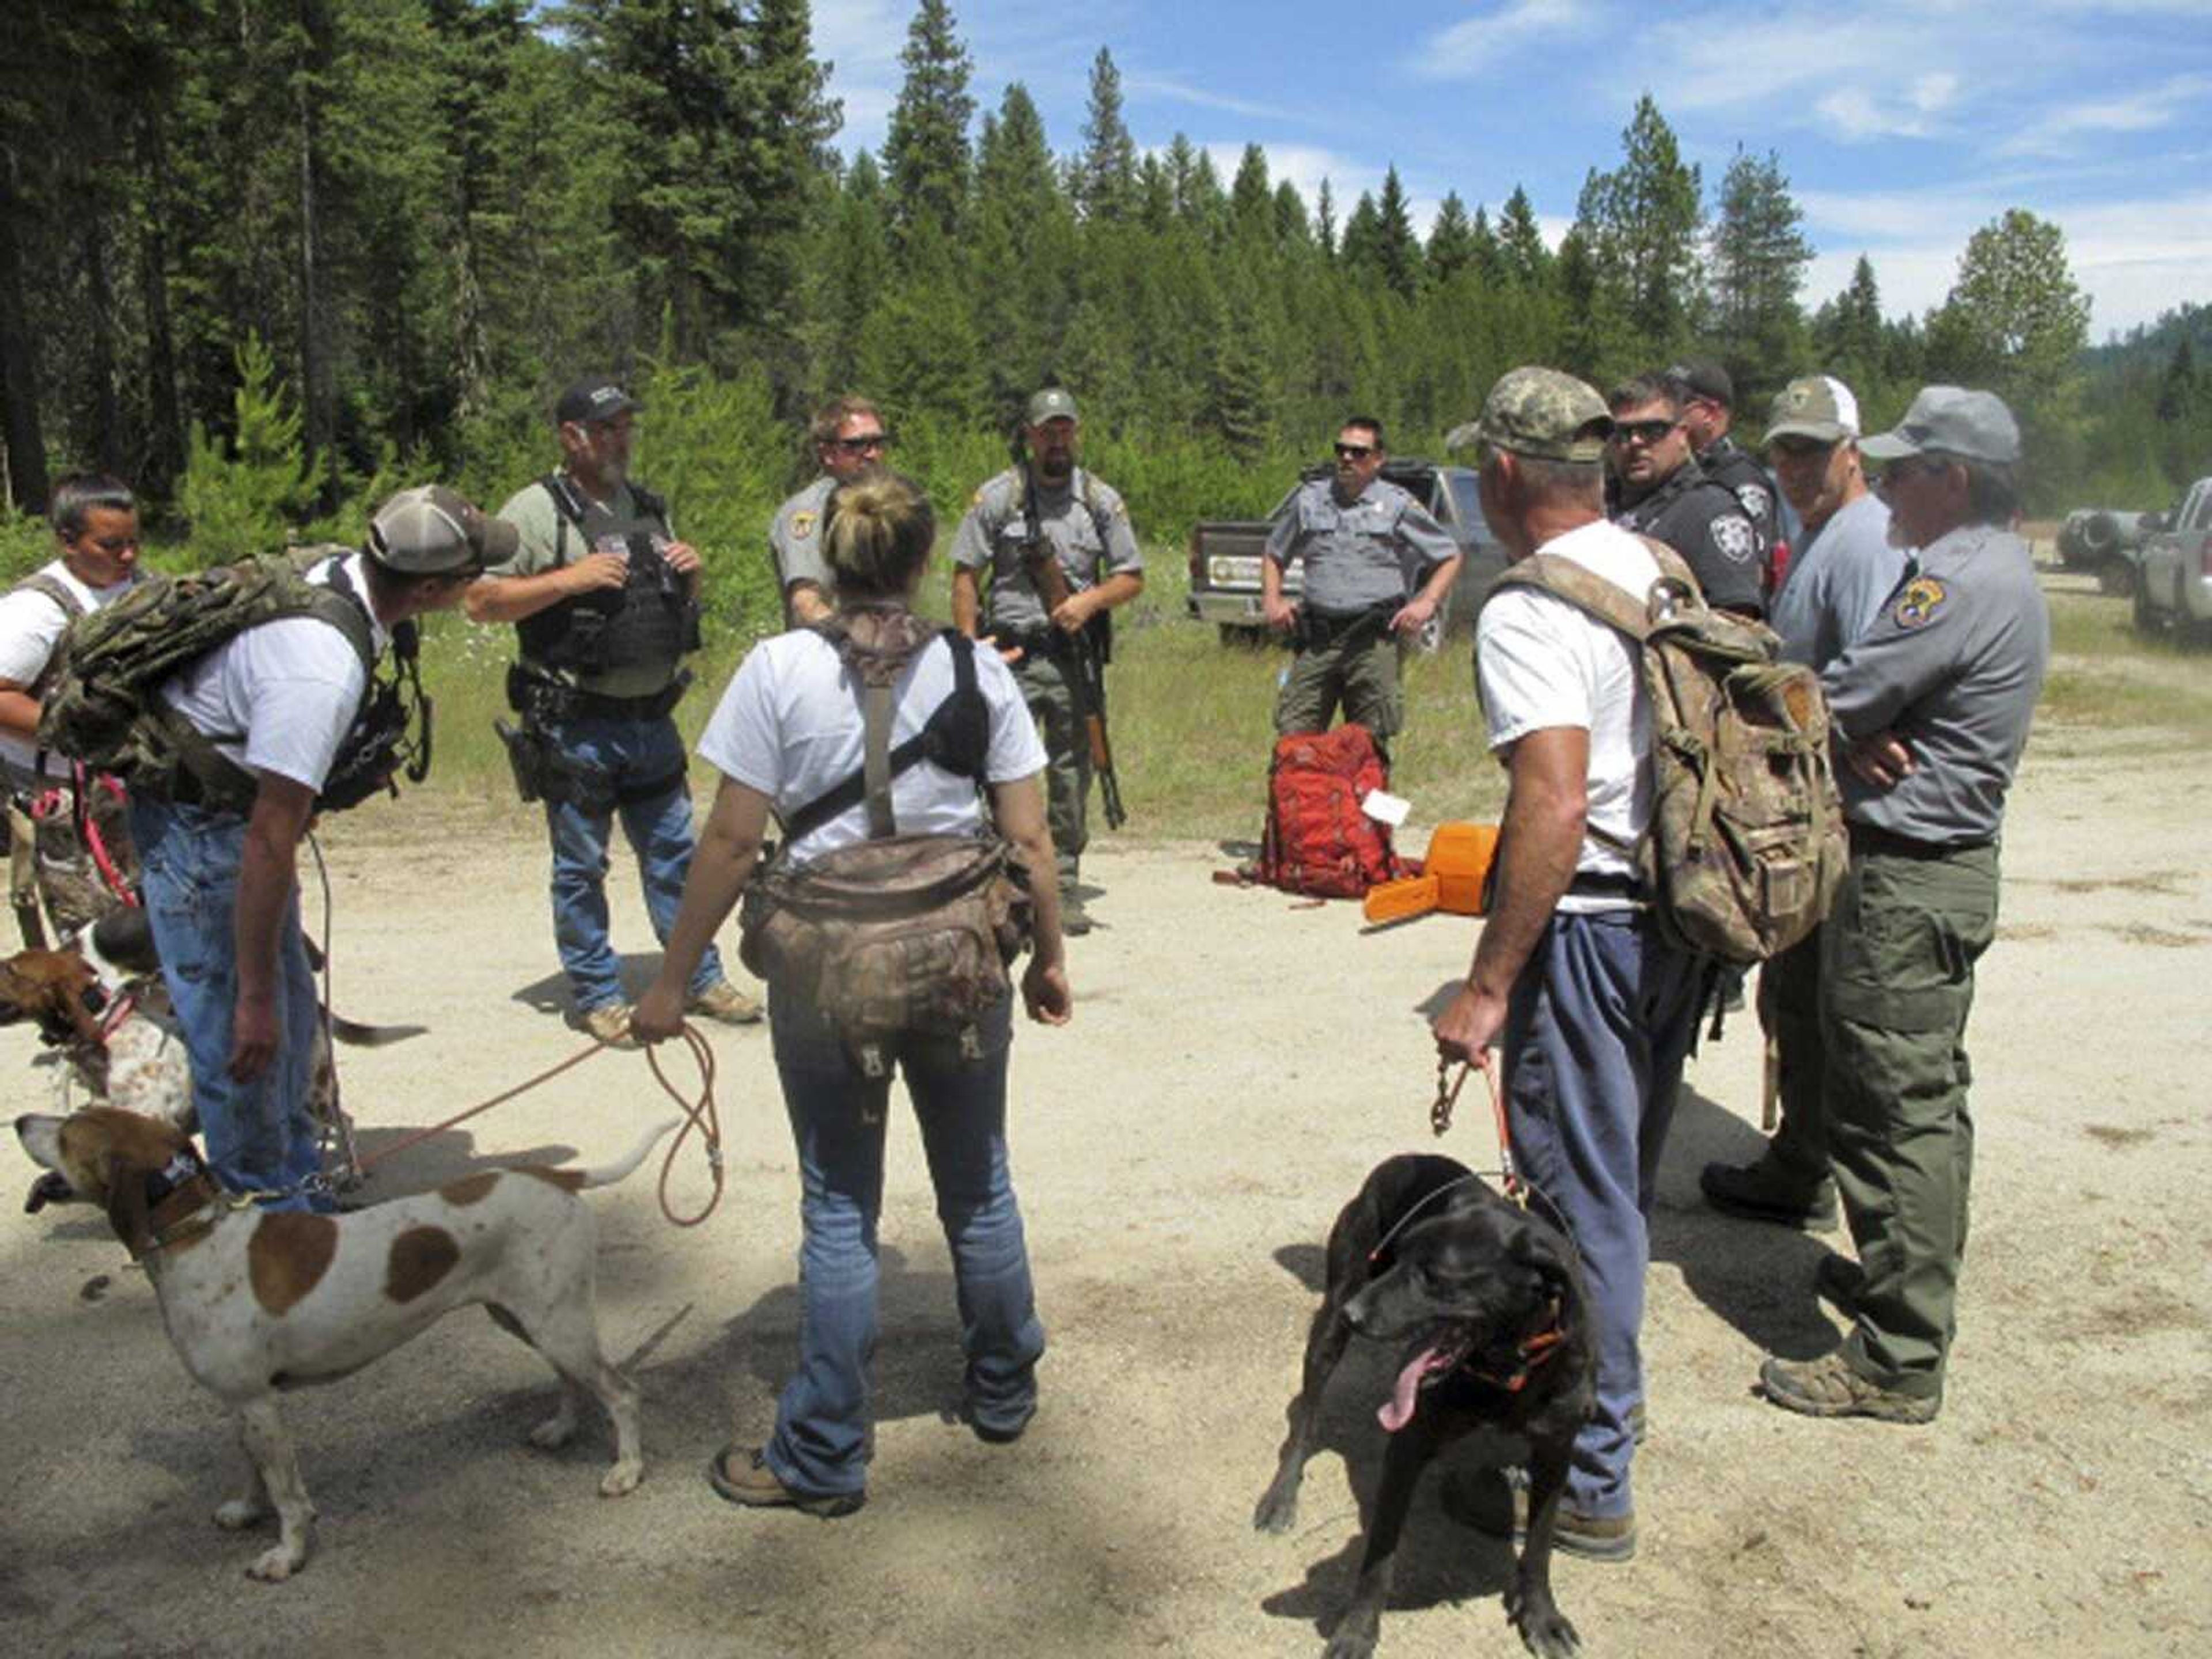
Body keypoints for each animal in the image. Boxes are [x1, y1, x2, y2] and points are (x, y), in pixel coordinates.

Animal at [15, 1110, 672, 1575]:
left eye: (69, 1130)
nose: (19, 1119)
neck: (197, 1237)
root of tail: (554, 1174)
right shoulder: (242, 1404)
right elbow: (251, 1469)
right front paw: (245, 1511)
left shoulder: (259, 1404)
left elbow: (288, 1494)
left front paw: (287, 1556)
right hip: (528, 1318)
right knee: (572, 1380)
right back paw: (560, 1430)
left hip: (557, 1323)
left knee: (622, 1391)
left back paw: (626, 1471)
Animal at [1256, 1159, 1601, 1659]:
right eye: (1401, 1257)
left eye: (1434, 1275)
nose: (1353, 1314)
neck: (1505, 1362)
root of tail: (1401, 1158)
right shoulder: (1408, 1445)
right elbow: (1379, 1556)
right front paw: (1357, 1630)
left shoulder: (1557, 1450)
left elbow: (1539, 1546)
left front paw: (1541, 1615)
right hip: (1330, 1322)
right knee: (1306, 1420)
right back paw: (1281, 1496)